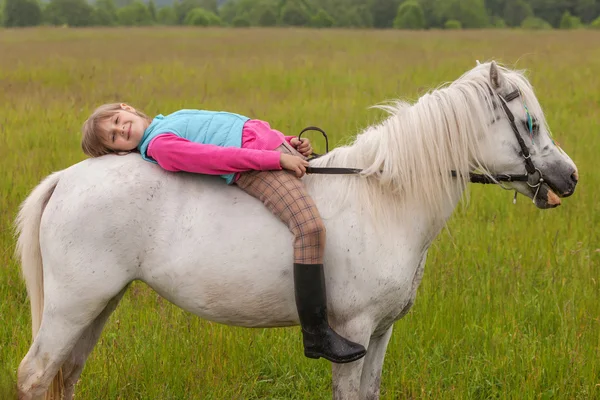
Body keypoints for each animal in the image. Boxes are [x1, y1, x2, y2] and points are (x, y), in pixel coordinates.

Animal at [14, 61, 576, 398]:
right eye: (529, 123)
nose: (569, 178)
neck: (384, 200)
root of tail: (67, 178)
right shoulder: (353, 331)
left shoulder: (382, 331)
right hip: (73, 304)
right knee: (36, 374)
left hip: (98, 305)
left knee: (64, 375)